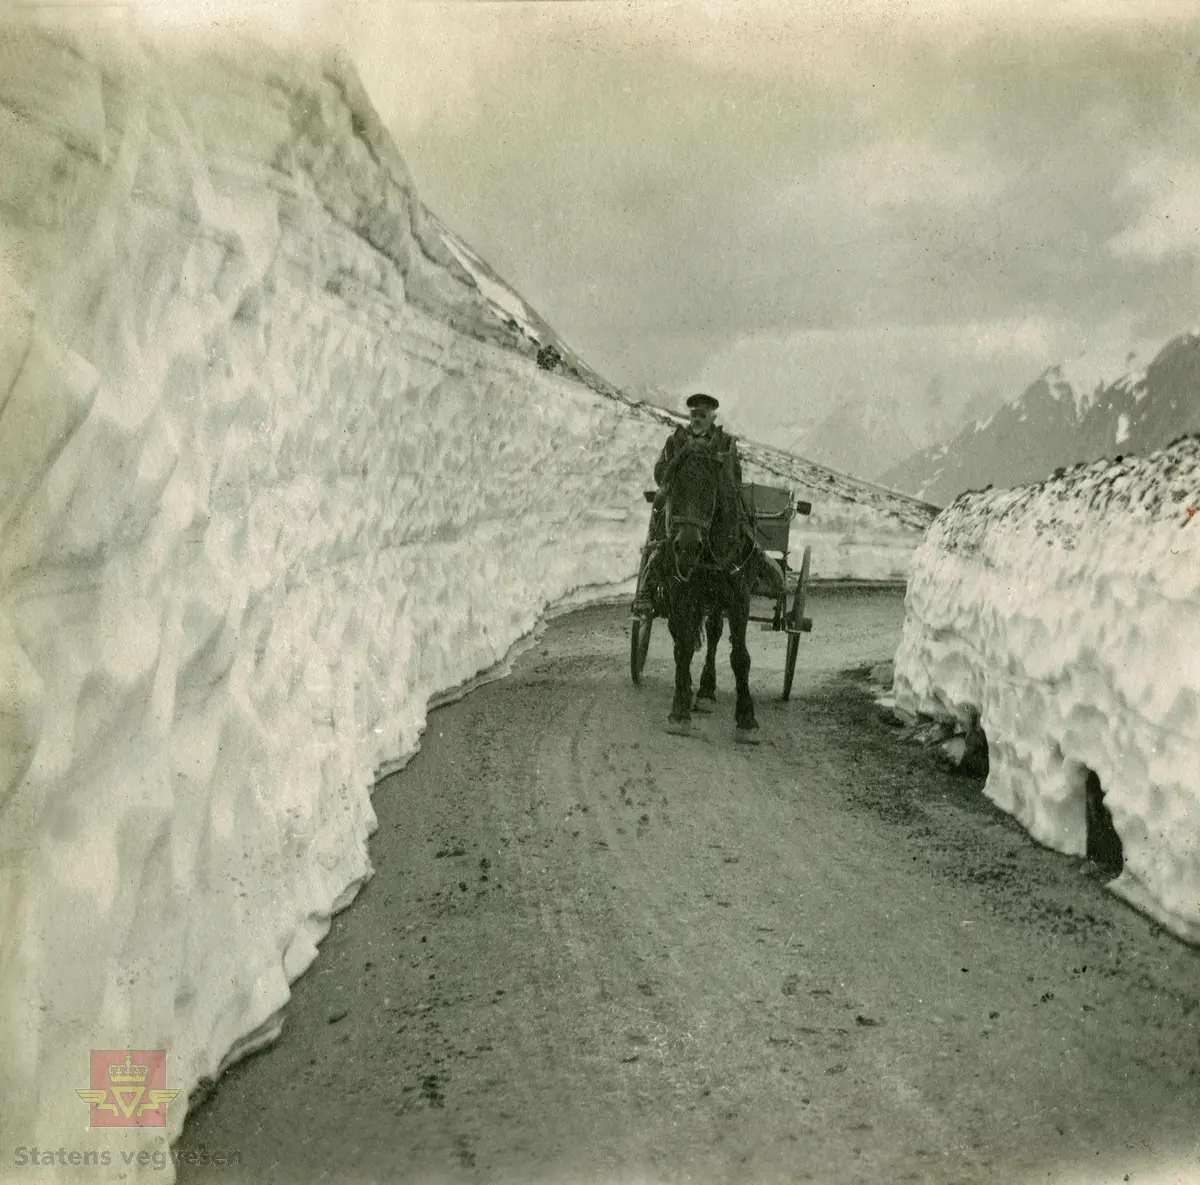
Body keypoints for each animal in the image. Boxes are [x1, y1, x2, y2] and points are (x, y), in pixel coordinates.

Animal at [657, 443, 758, 738]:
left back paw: (705, 689)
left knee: (713, 632)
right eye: (674, 485)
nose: (687, 547)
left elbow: (740, 656)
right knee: (686, 636)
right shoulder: (681, 593)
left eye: (710, 489)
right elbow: (684, 646)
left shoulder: (739, 598)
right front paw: (679, 710)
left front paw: (746, 717)